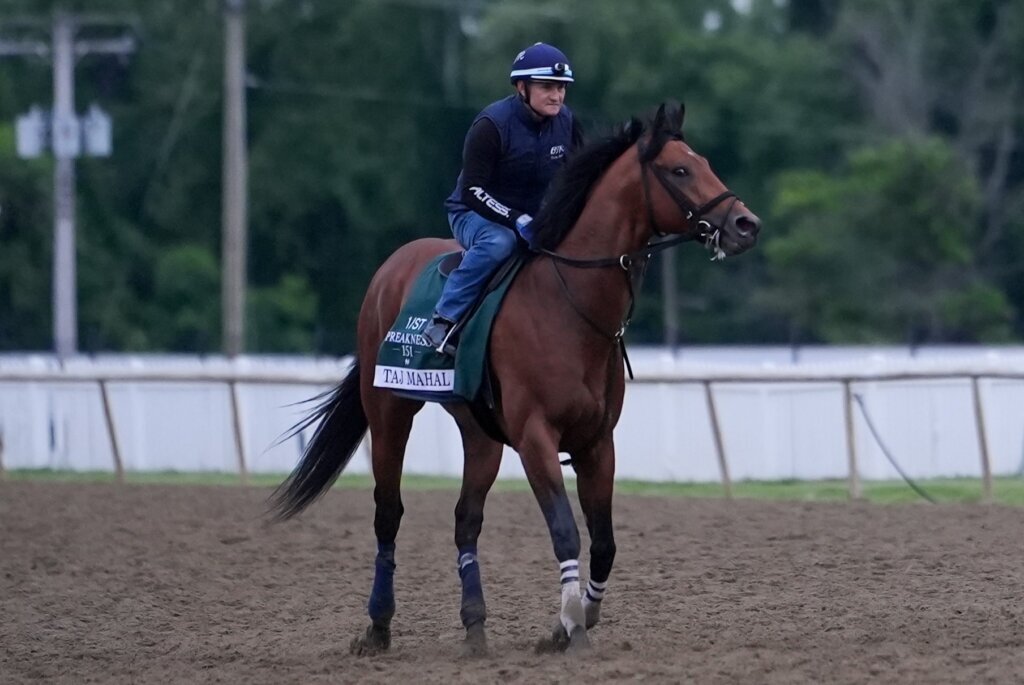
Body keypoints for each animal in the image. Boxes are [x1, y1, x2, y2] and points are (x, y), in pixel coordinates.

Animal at [270, 102, 761, 655]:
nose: (746, 223)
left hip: (479, 433)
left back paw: (475, 625)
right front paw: (571, 625)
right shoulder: (535, 438)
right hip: (390, 410)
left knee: (465, 520)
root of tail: (386, 272)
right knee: (388, 511)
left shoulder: (596, 442)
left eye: (703, 162)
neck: (570, 307)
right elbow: (566, 531)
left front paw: (578, 618)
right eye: (679, 170)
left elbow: (605, 541)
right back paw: (378, 626)